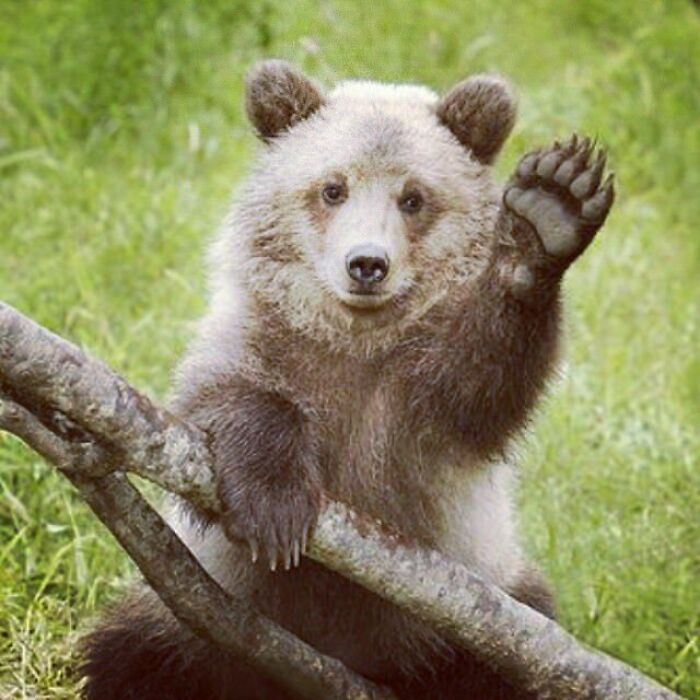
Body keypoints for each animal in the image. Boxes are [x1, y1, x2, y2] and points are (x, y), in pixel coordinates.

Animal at [80, 60, 614, 700]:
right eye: (332, 188)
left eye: (413, 197)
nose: (366, 264)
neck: (355, 340)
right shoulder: (260, 342)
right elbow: (217, 409)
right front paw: (273, 505)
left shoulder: (417, 397)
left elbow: (482, 384)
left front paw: (547, 213)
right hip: (191, 619)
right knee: (134, 654)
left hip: (467, 616)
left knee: (508, 659)